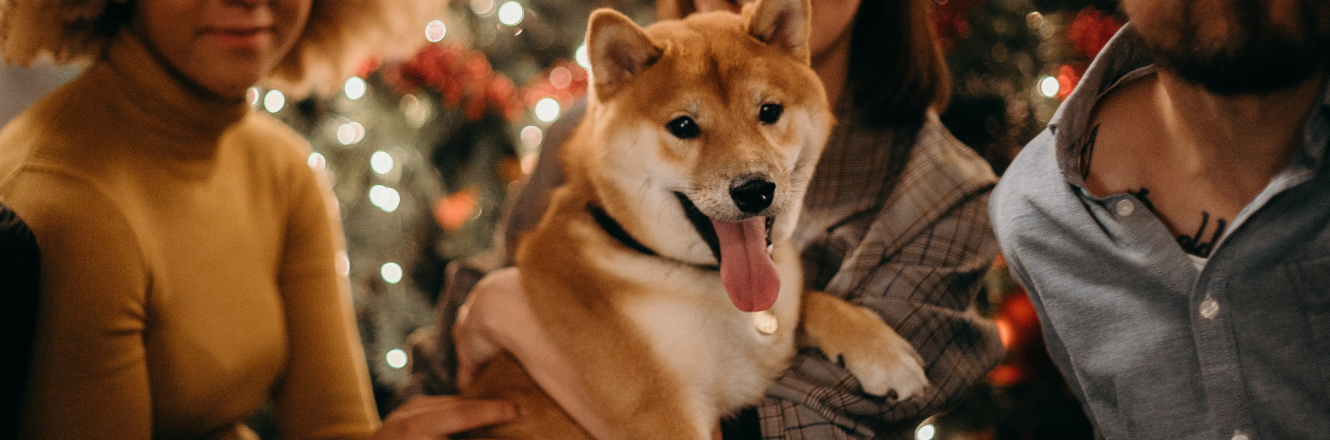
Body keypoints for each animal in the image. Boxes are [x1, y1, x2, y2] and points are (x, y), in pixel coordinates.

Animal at [452, 0, 931, 438]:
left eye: (769, 111)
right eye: (683, 126)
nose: (754, 190)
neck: (694, 280)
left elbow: (809, 297)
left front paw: (879, 349)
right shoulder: (661, 413)